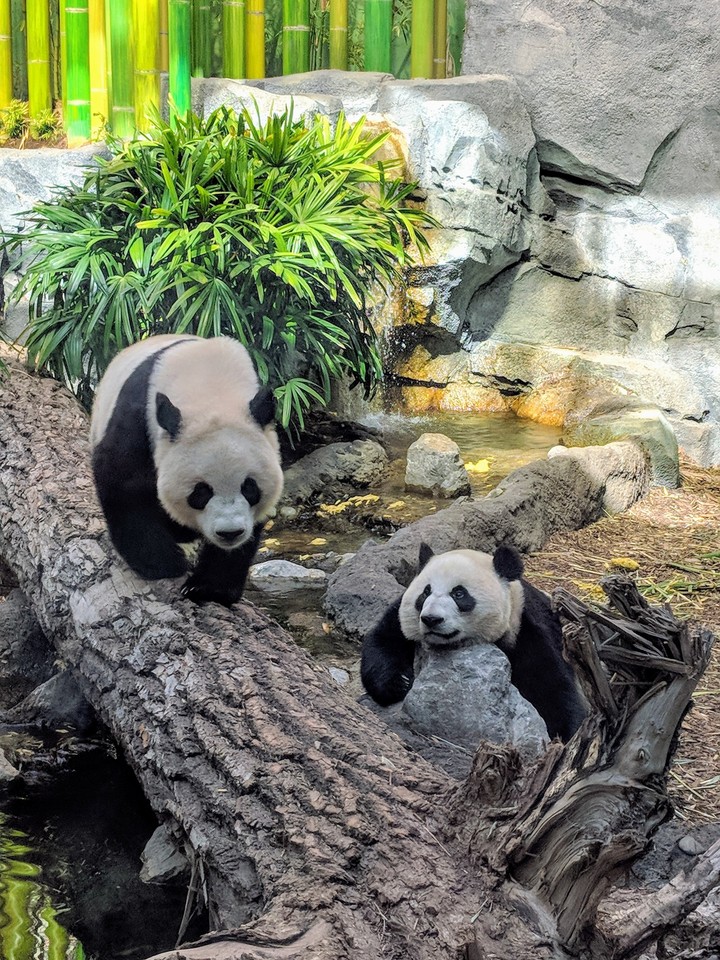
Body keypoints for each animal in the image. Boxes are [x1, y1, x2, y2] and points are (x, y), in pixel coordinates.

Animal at [89, 334, 283, 607]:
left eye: (250, 488)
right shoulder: (139, 417)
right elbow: (123, 482)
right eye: (201, 492)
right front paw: (162, 564)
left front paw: (209, 588)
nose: (230, 533)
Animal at [360, 543, 586, 742]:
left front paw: (562, 732)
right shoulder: (400, 618)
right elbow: (383, 641)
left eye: (459, 593)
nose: (432, 619)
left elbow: (550, 685)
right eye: (425, 592)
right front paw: (400, 682)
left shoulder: (524, 627)